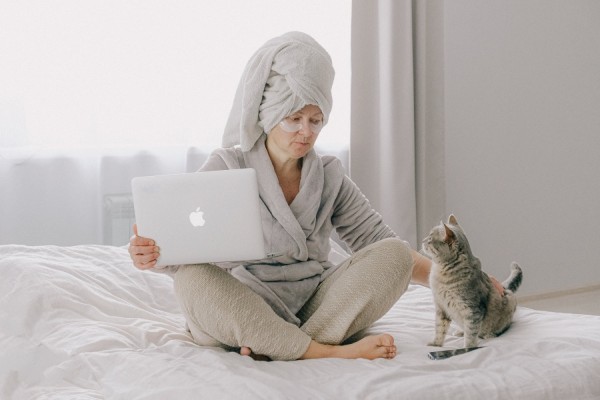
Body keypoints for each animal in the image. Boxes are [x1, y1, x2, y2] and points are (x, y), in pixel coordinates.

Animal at [422, 214, 520, 348]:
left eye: (430, 238)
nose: (422, 240)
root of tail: (505, 288)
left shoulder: (472, 311)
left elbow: (471, 334)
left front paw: (468, 348)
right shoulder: (441, 307)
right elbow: (439, 328)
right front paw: (436, 344)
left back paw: (489, 335)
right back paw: (460, 331)